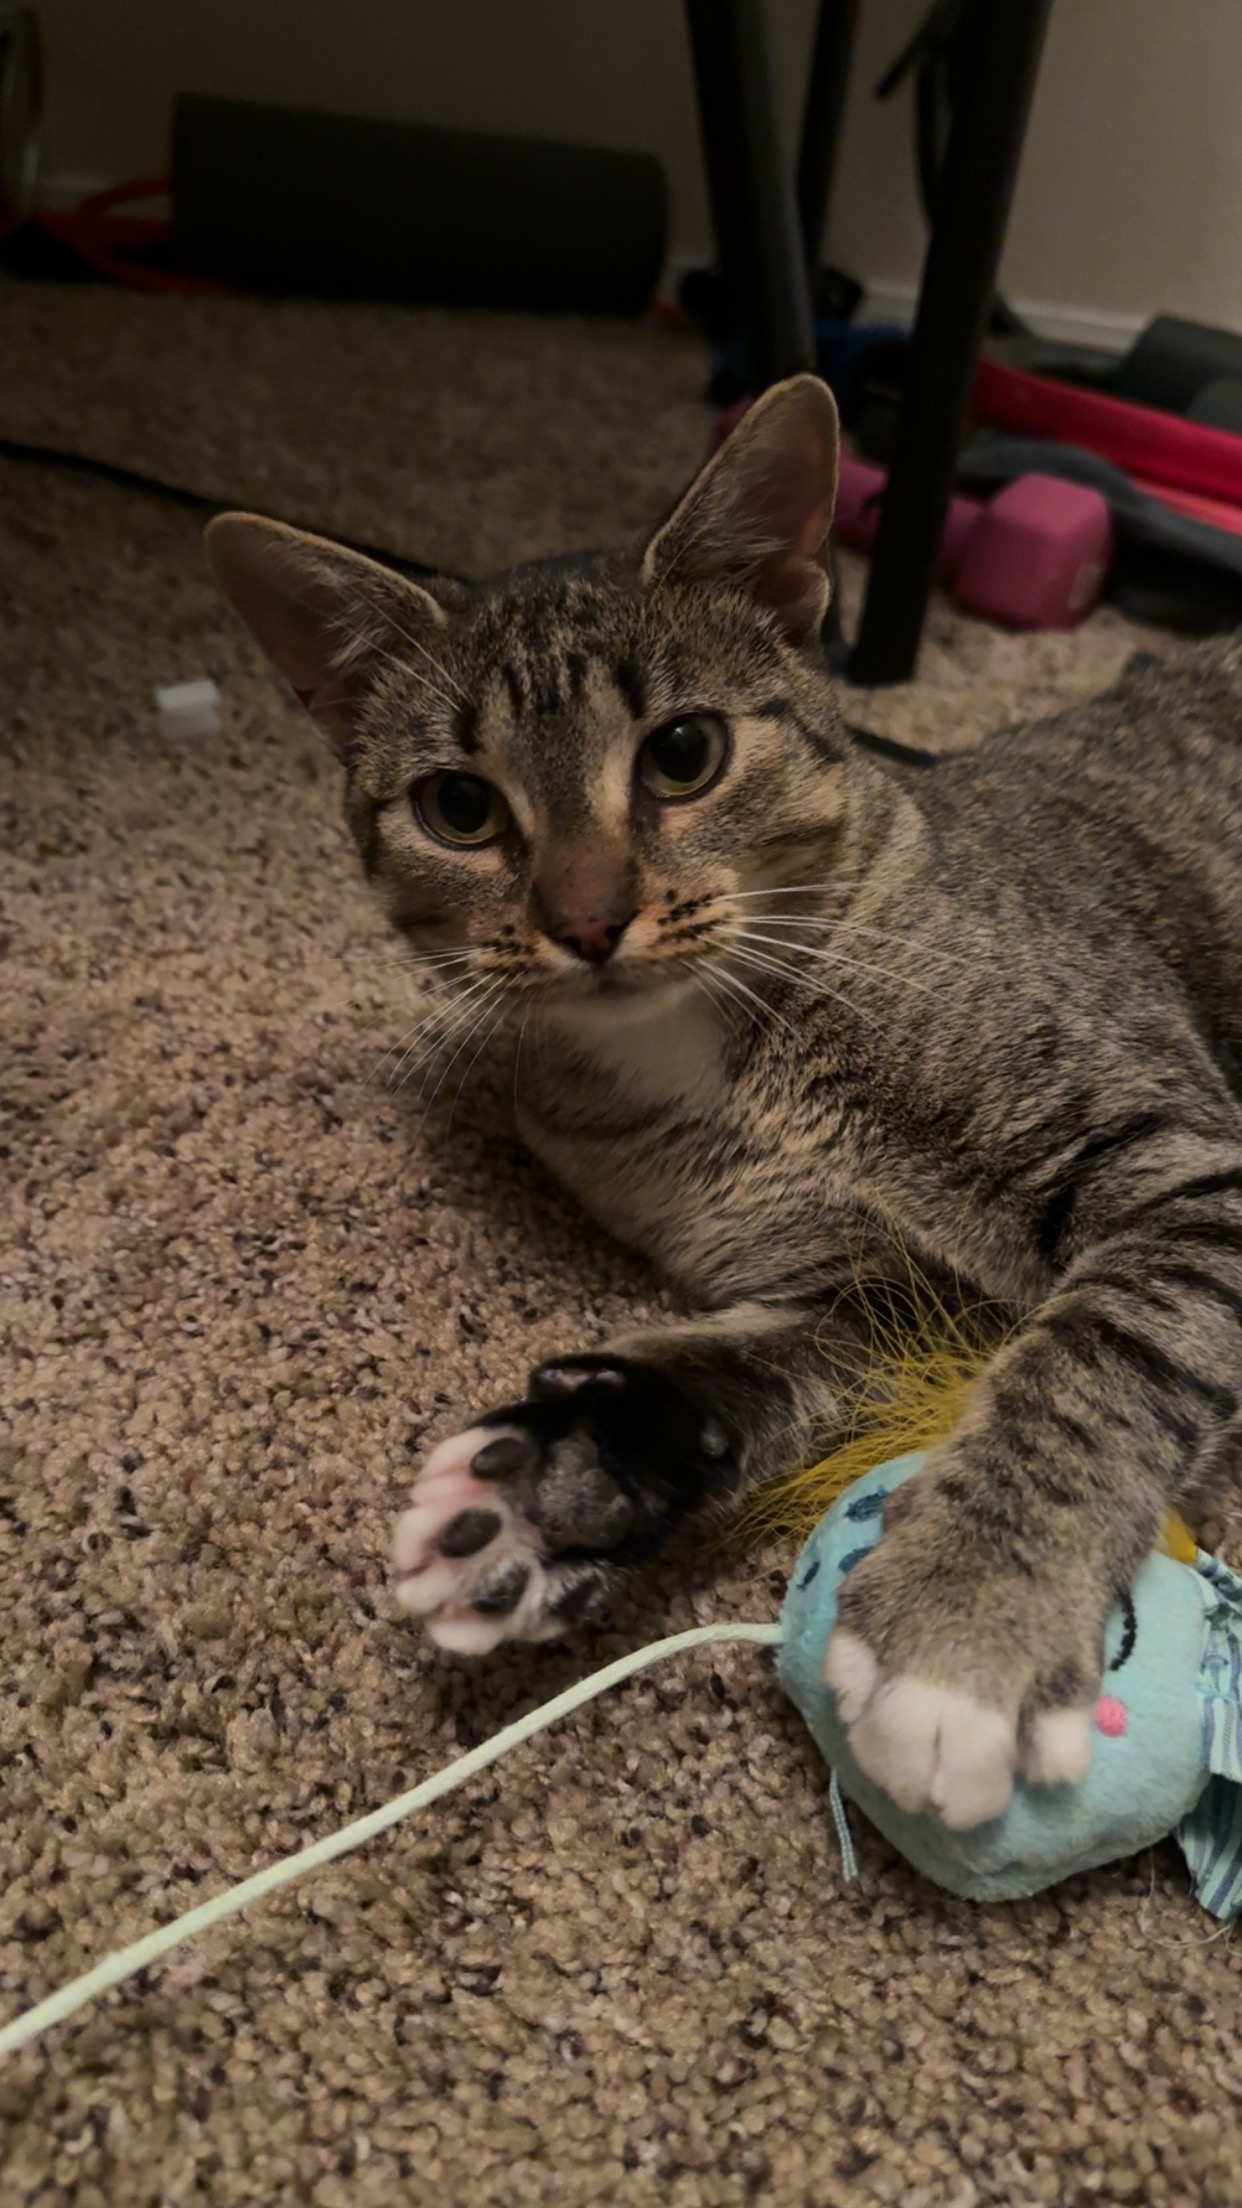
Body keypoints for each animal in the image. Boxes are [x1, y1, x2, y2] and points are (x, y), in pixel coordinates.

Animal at [207, 373, 1242, 1833]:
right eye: (459, 807)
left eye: (684, 753)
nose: (585, 918)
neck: (731, 1063)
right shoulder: (868, 1297)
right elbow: (749, 1373)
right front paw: (563, 1480)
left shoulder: (1181, 1164)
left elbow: (1092, 1365)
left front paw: (965, 1628)